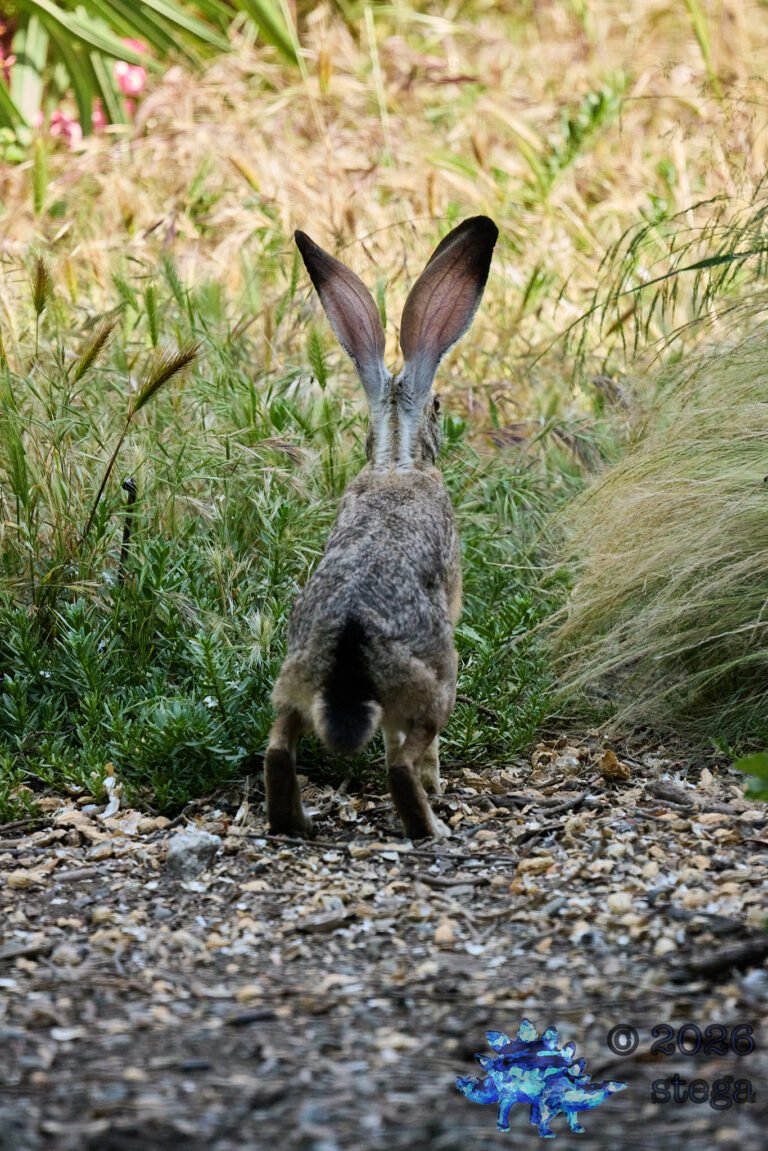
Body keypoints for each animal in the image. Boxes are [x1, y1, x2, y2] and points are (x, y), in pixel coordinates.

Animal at [264, 215, 498, 840]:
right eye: (437, 407)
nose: (445, 420)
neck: (397, 458)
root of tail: (348, 653)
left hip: (292, 683)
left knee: (278, 747)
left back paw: (294, 822)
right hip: (435, 688)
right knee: (404, 759)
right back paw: (431, 822)